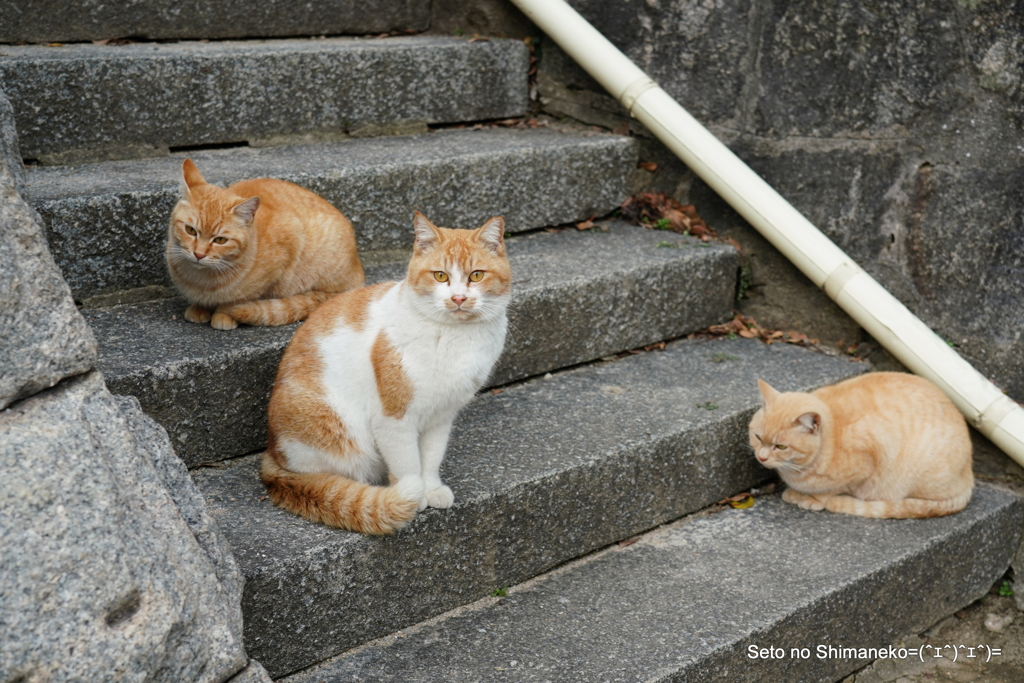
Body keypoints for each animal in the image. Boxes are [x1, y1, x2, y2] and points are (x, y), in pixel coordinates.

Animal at [164, 160, 364, 331]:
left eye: (220, 240)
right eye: (190, 230)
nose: (199, 254)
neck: (201, 280)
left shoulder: (287, 248)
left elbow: (239, 298)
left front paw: (224, 313)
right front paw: (200, 307)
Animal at [260, 211, 507, 532]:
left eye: (476, 275)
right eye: (440, 276)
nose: (458, 298)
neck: (456, 337)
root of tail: (272, 453)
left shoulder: (441, 416)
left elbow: (431, 457)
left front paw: (432, 488)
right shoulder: (393, 420)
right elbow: (407, 464)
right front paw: (413, 497)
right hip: (333, 427)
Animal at [749, 374, 970, 518]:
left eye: (780, 447)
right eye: (758, 437)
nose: (762, 457)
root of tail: (969, 478)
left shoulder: (866, 463)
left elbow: (832, 490)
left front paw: (812, 498)